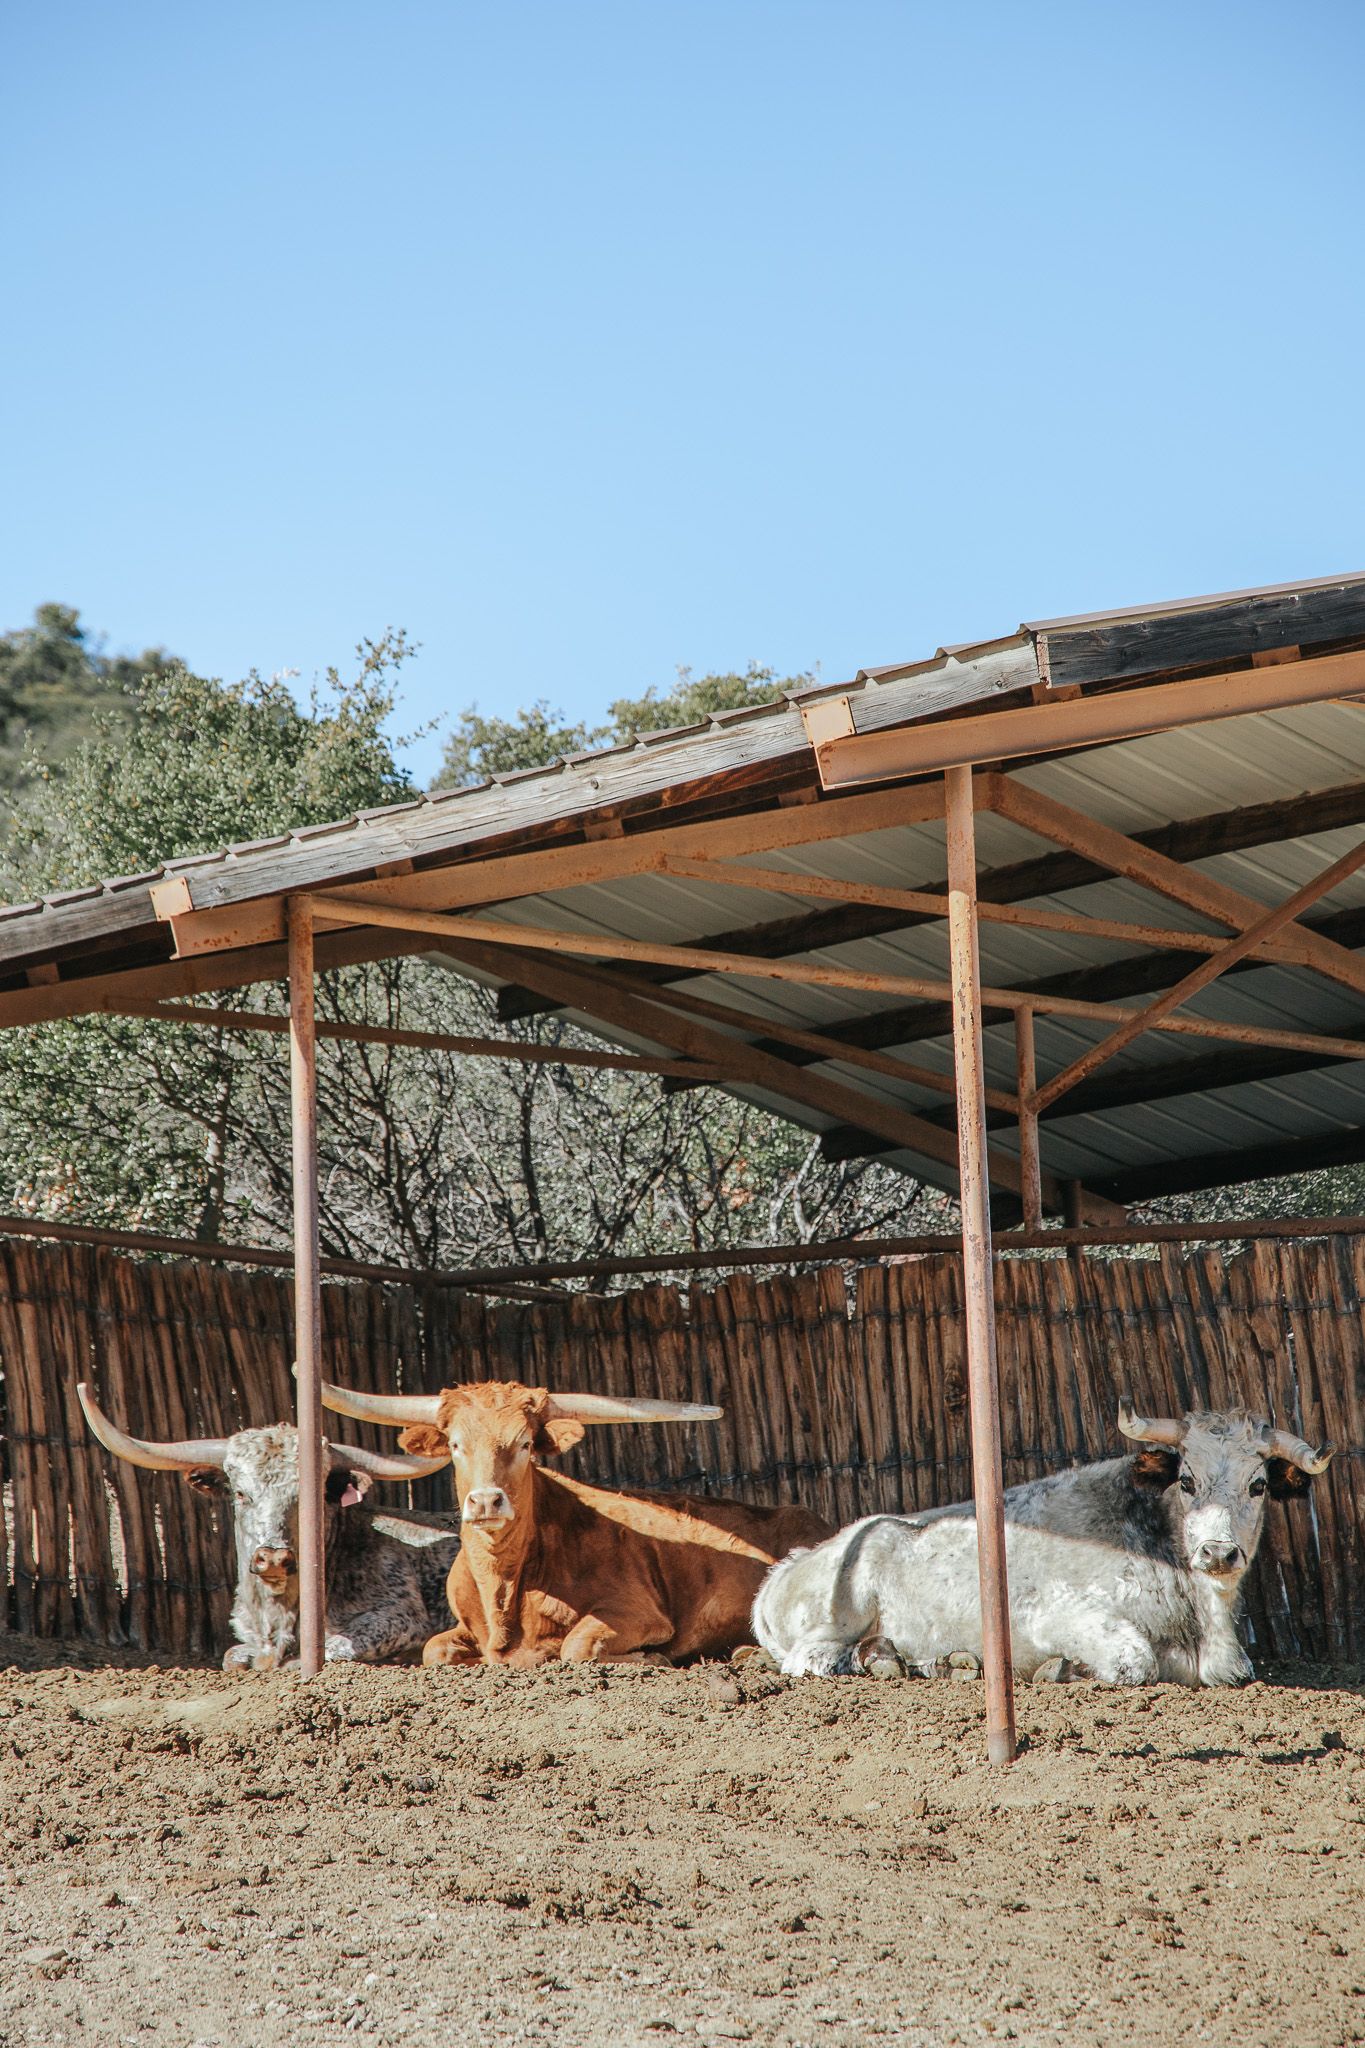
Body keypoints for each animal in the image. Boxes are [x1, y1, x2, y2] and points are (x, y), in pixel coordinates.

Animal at [78, 1383, 459, 1670]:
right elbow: (233, 1656)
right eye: (240, 1493)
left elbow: (332, 1647)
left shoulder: (400, 1616)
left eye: (311, 1497)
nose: (273, 1557)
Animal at [318, 1376, 833, 1666]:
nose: (486, 1502)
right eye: (456, 1444)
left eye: (525, 1443)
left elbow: (576, 1647)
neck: (505, 1585)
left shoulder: (639, 1613)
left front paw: (651, 1659)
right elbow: (435, 1651)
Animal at [751, 1403, 1335, 1688]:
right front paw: (1063, 1670)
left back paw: (923, 1662)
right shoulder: (1056, 1615)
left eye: (1257, 1485)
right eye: (1186, 1481)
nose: (1217, 1553)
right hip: (839, 1612)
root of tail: (783, 1570)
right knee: (812, 1660)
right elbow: (1133, 1660)